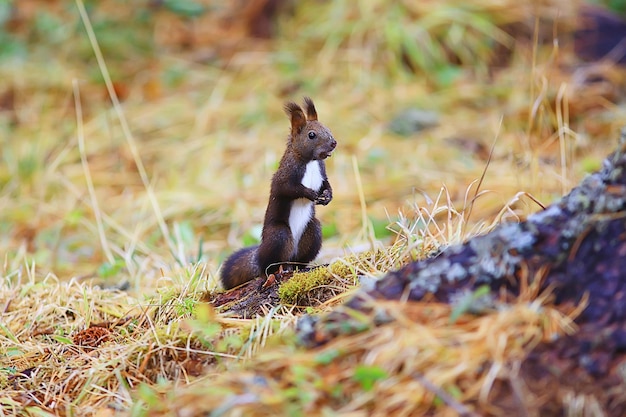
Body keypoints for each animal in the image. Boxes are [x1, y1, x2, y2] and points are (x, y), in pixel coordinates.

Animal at [219, 97, 336, 290]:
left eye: (327, 128)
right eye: (311, 135)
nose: (334, 143)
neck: (310, 161)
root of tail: (259, 257)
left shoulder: (322, 172)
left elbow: (326, 184)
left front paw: (327, 196)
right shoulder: (284, 176)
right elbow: (288, 189)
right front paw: (310, 194)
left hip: (313, 232)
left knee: (298, 259)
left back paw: (301, 268)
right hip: (278, 235)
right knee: (269, 265)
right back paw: (274, 272)